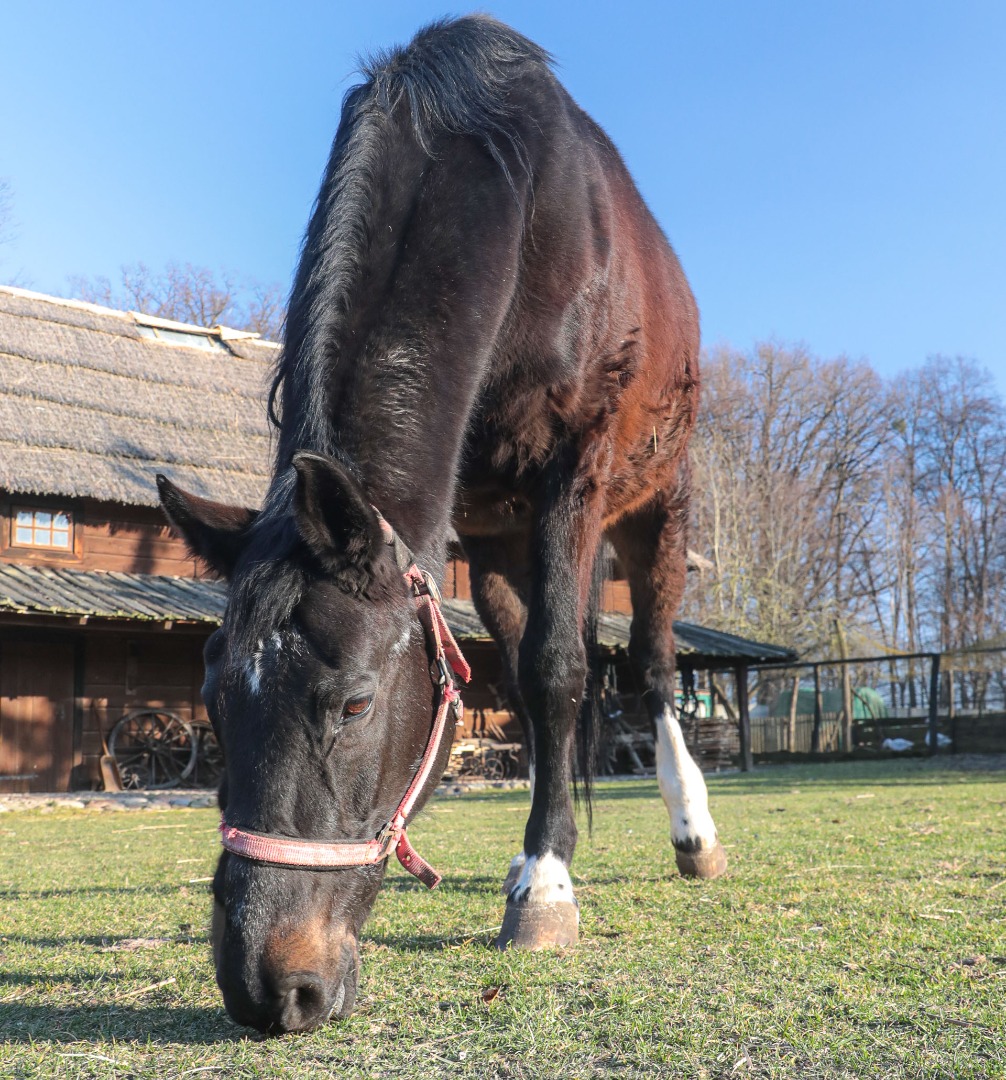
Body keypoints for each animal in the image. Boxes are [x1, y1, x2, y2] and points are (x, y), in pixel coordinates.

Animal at [157, 12, 721, 1032]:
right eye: (212, 702)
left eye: (354, 704)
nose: (268, 985)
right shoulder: (471, 527)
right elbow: (531, 682)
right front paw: (539, 857)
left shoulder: (576, 471)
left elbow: (559, 669)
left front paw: (546, 887)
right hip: (504, 541)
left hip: (656, 506)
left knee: (653, 667)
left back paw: (692, 832)